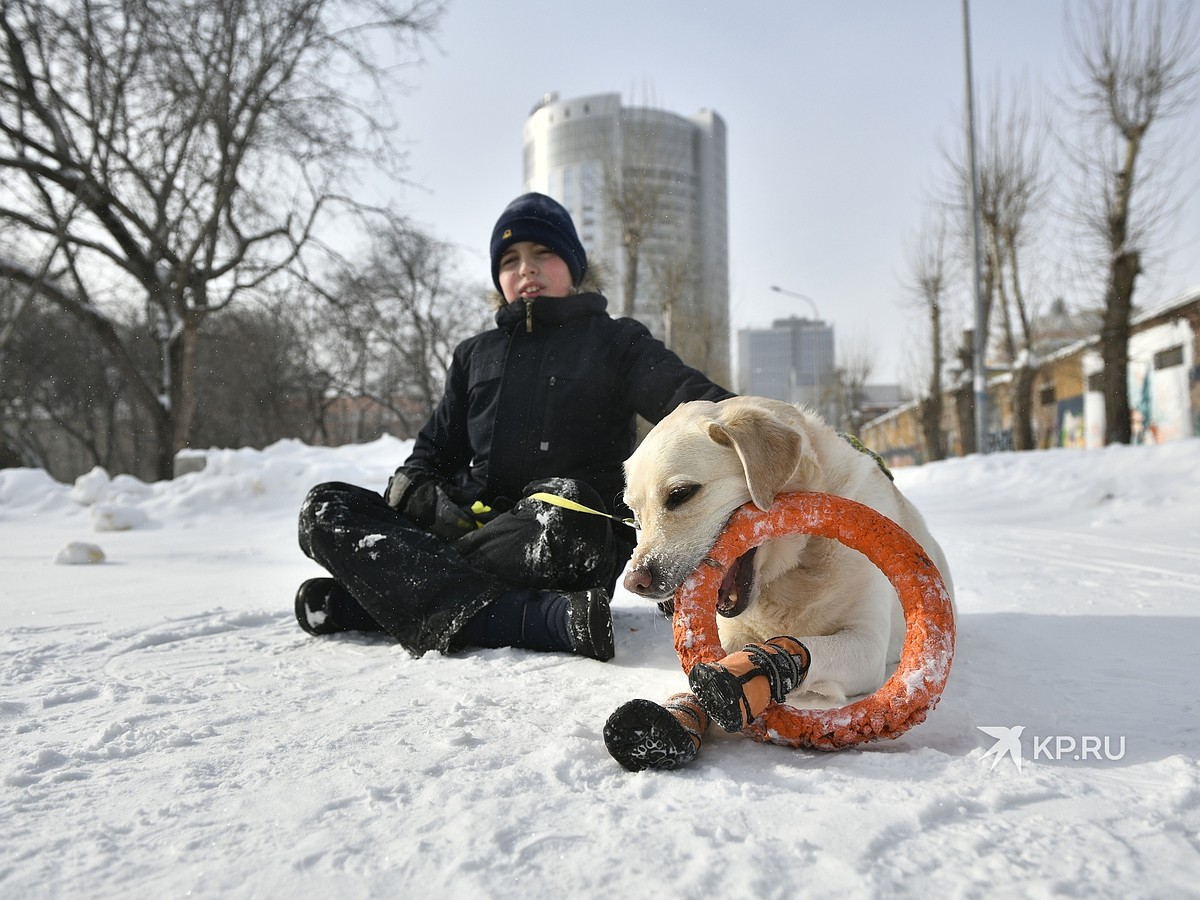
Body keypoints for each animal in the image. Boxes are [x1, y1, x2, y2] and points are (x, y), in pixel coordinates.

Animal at [624, 400, 950, 705]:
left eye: (680, 494)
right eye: (634, 516)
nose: (634, 582)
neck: (798, 566)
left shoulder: (867, 643)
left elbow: (811, 646)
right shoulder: (729, 630)